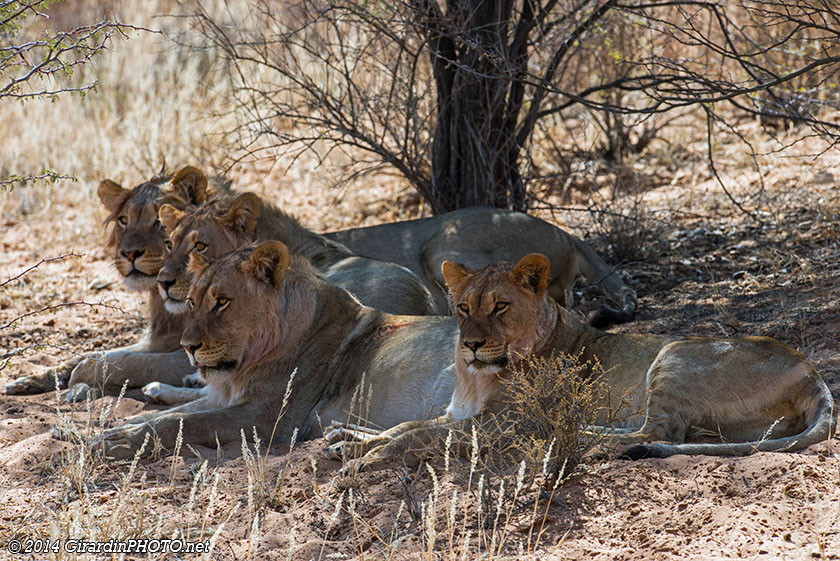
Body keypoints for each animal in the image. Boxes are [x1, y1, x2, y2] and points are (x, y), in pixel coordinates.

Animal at [4, 166, 224, 400]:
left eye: (159, 221)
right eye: (123, 220)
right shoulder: (162, 338)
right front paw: (31, 380)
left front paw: (83, 376)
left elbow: (135, 362)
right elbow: (93, 353)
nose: (129, 253)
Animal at [92, 241, 458, 460]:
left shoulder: (266, 418)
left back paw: (350, 446)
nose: (187, 347)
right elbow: (172, 415)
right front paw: (115, 430)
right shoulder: (228, 399)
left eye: (222, 302)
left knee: (430, 431)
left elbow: (181, 423)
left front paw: (119, 441)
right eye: (192, 302)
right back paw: (344, 437)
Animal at [326, 254, 836, 470]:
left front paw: (362, 459)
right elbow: (407, 425)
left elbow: (417, 435)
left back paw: (578, 434)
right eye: (463, 307)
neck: (476, 377)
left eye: (500, 307)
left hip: (674, 353)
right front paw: (347, 441)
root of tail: (815, 375)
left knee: (655, 433)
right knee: (669, 434)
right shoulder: (458, 412)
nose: (470, 344)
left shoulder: (500, 422)